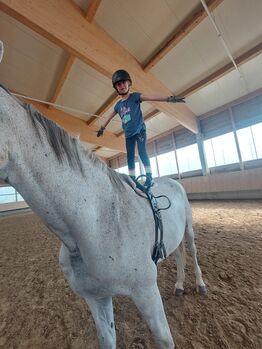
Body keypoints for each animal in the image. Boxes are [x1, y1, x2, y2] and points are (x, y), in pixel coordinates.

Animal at [0, 41, 207, 348]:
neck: (94, 222)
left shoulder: (147, 292)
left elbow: (165, 340)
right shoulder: (96, 298)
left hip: (189, 229)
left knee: (191, 252)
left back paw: (200, 284)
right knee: (179, 254)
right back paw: (180, 285)